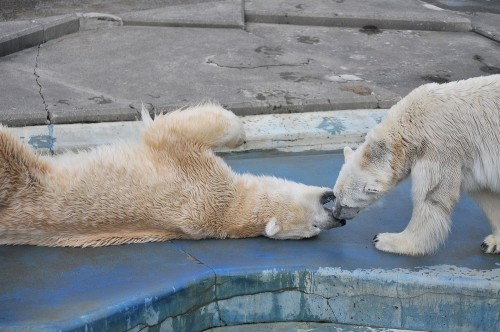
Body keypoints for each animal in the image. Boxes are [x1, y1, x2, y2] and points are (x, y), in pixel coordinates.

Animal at [0, 104, 346, 246]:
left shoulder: (199, 175)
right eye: (315, 225)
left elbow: (170, 131)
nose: (338, 221)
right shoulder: (199, 173)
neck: (229, 207)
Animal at [332, 75, 500, 255]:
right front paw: (492, 242)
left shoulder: (440, 148)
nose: (336, 214)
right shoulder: (469, 161)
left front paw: (386, 240)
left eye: (346, 203)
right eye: (335, 195)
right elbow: (484, 193)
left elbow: (431, 198)